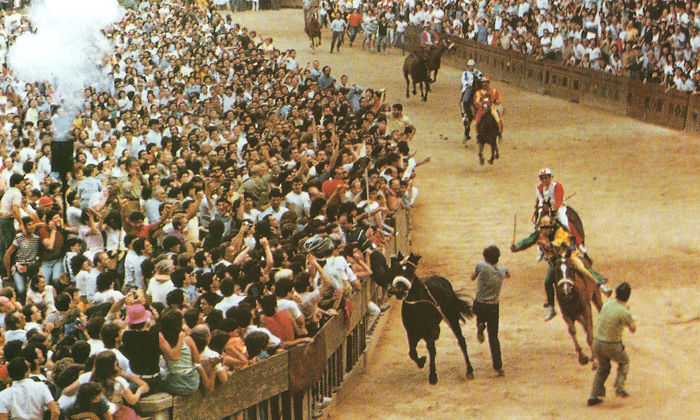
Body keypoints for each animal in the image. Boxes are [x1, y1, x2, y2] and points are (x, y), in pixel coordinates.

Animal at [388, 253, 476, 384]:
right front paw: (422, 361)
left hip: (452, 318)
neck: (416, 306)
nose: (398, 291)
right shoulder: (411, 332)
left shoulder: (431, 330)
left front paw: (433, 376)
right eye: (395, 270)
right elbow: (412, 352)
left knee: (461, 340)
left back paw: (469, 370)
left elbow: (431, 348)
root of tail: (444, 281)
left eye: (410, 271)